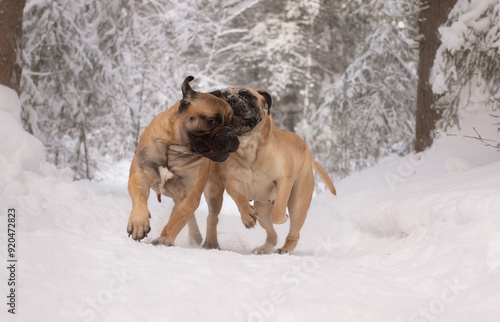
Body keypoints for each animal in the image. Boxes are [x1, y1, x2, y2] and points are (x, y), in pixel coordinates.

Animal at [126, 76, 237, 247]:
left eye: (234, 123)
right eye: (211, 121)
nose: (230, 133)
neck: (175, 148)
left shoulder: (189, 196)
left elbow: (176, 221)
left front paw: (164, 240)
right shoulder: (140, 175)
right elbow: (139, 197)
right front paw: (139, 222)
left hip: (212, 192)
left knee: (210, 217)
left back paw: (208, 242)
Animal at [202, 87, 336, 253]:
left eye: (247, 95)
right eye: (224, 95)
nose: (231, 99)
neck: (247, 146)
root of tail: (308, 153)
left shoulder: (284, 181)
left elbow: (277, 214)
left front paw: (283, 217)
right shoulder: (232, 181)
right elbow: (239, 197)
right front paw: (247, 215)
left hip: (298, 201)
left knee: (292, 229)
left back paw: (286, 248)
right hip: (247, 203)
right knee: (267, 230)